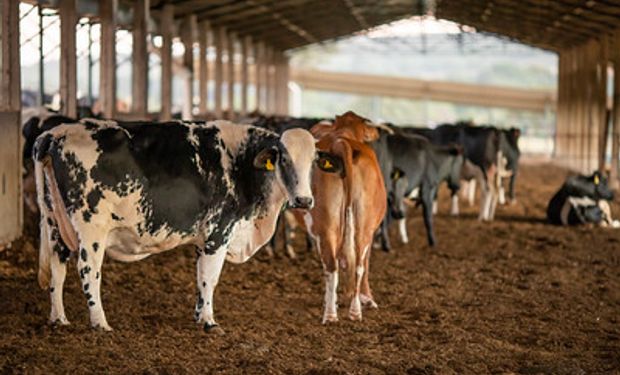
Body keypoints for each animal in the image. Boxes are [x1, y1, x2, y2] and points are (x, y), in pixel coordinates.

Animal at [34, 119, 314, 334]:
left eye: (312, 161)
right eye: (284, 159)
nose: (304, 200)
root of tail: (56, 132)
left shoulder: (203, 240)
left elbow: (200, 277)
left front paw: (199, 315)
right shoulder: (218, 232)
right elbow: (210, 278)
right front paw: (210, 322)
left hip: (54, 223)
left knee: (57, 270)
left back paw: (59, 319)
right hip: (91, 228)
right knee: (88, 271)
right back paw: (100, 323)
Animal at [294, 111, 386, 324]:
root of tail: (342, 143)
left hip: (328, 226)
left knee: (334, 266)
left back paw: (332, 313)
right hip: (360, 226)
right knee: (355, 265)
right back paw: (352, 311)